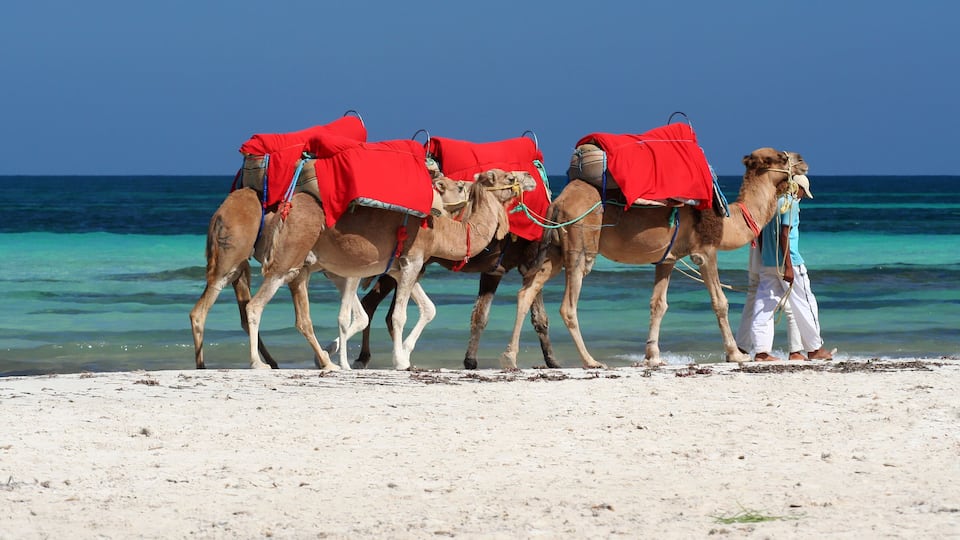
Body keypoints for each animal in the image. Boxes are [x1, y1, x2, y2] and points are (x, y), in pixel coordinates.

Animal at [245, 168, 537, 370]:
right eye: (509, 175)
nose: (531, 177)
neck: (441, 230)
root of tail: (282, 209)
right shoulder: (413, 260)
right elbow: (399, 316)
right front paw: (400, 360)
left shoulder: (401, 267)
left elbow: (429, 308)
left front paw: (405, 353)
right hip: (287, 258)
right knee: (255, 306)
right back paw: (259, 363)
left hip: (303, 266)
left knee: (302, 317)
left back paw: (326, 362)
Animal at [499, 147, 808, 369]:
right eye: (780, 156)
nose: (803, 160)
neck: (728, 220)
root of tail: (558, 202)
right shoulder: (705, 251)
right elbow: (720, 302)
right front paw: (736, 355)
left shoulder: (667, 259)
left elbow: (658, 305)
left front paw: (652, 357)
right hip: (580, 244)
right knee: (568, 306)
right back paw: (590, 361)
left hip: (555, 249)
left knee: (526, 291)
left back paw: (510, 358)